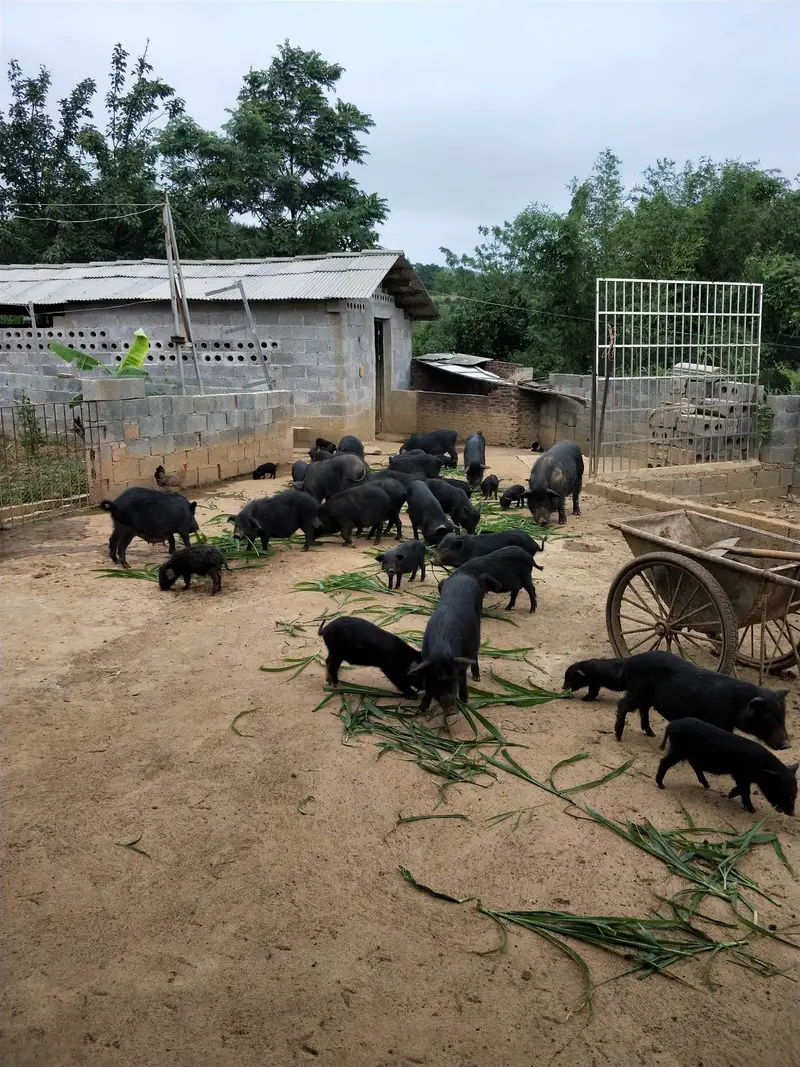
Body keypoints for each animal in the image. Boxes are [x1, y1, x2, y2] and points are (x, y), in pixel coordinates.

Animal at [652, 717, 797, 815]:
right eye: (787, 793)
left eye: (795, 793)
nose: (792, 813)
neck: (761, 767)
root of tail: (672, 725)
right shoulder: (741, 775)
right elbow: (745, 790)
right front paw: (752, 810)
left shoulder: (742, 776)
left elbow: (742, 788)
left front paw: (730, 795)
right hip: (678, 750)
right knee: (664, 761)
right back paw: (661, 785)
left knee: (694, 765)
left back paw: (707, 785)